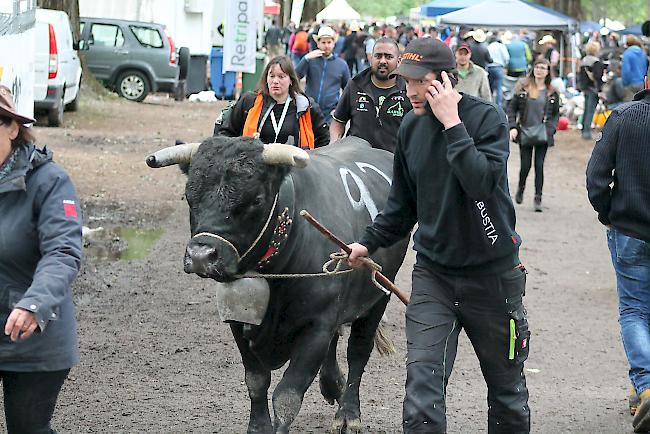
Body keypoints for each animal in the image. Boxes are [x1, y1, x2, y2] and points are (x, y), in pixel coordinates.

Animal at [149, 136, 408, 434]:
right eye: (190, 197)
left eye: (255, 200)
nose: (201, 256)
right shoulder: (239, 321)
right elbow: (256, 380)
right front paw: (259, 426)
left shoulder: (317, 326)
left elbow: (287, 395)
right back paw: (332, 385)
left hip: (379, 296)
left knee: (358, 352)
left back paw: (348, 414)